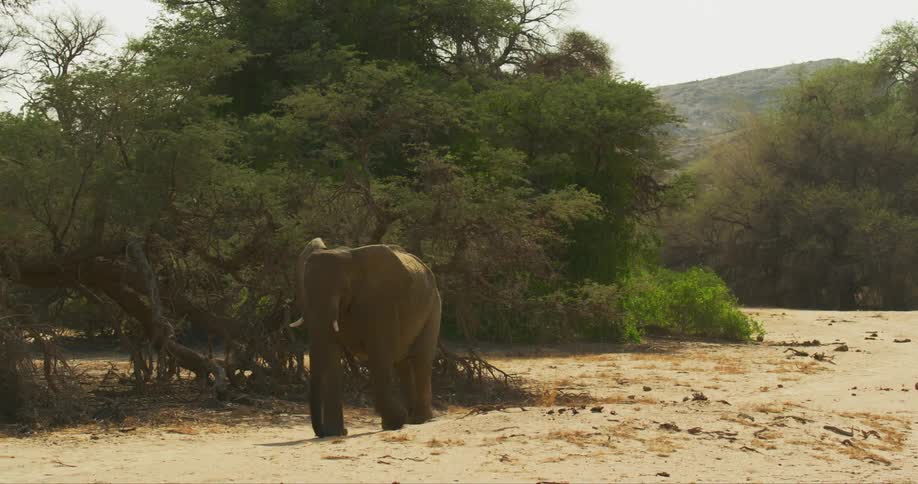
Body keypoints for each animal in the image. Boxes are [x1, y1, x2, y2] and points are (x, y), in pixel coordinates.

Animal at [290, 238, 441, 437]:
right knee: (402, 362)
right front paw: (336, 433)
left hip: (433, 306)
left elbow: (379, 353)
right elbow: (331, 355)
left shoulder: (381, 301)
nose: (320, 433)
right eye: (304, 290)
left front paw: (396, 421)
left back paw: (419, 419)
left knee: (420, 359)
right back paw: (410, 418)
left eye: (343, 289)